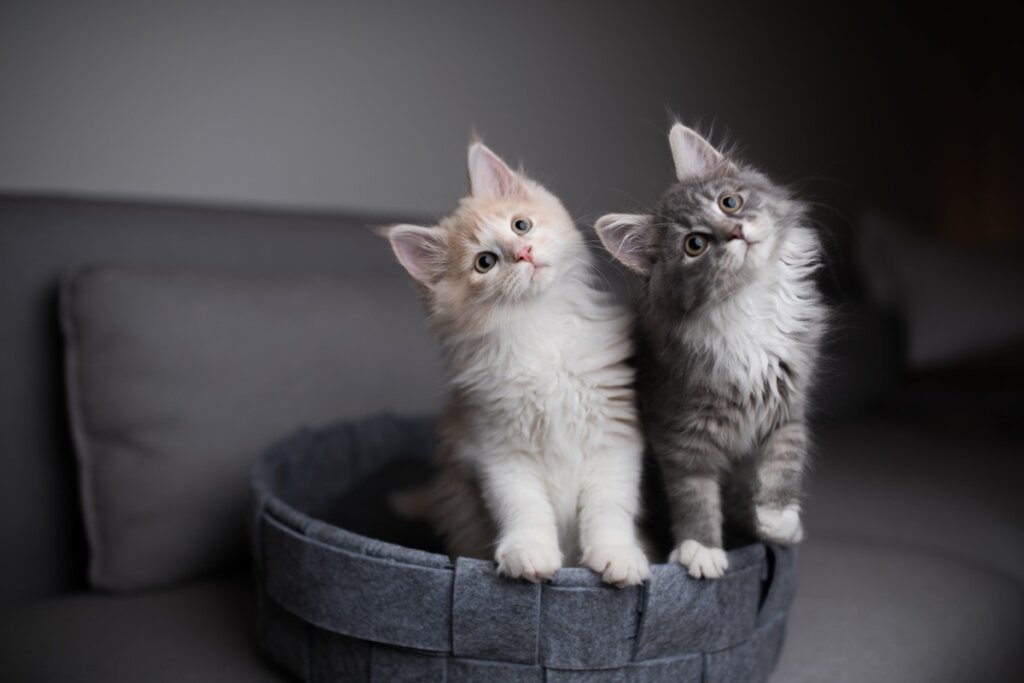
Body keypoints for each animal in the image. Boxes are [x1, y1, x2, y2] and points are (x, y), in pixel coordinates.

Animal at [385, 140, 647, 589]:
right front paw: (529, 555)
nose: (523, 253)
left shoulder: (614, 437)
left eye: (520, 225)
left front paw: (617, 555)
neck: (539, 330)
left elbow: (609, 506)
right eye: (485, 262)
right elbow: (524, 508)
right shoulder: (498, 451)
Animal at [598, 122, 827, 577]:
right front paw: (701, 549)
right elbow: (694, 493)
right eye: (695, 245)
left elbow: (785, 458)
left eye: (729, 202)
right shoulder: (679, 431)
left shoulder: (788, 401)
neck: (747, 304)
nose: (736, 232)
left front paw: (778, 520)